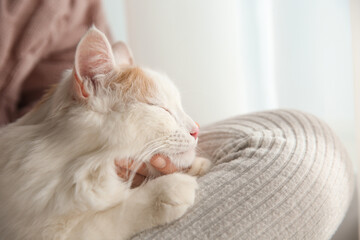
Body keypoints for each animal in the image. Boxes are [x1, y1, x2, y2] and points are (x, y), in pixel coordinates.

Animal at [0, 26, 211, 240]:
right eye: (161, 109)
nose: (196, 129)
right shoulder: (46, 231)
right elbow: (109, 218)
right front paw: (165, 191)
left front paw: (198, 165)